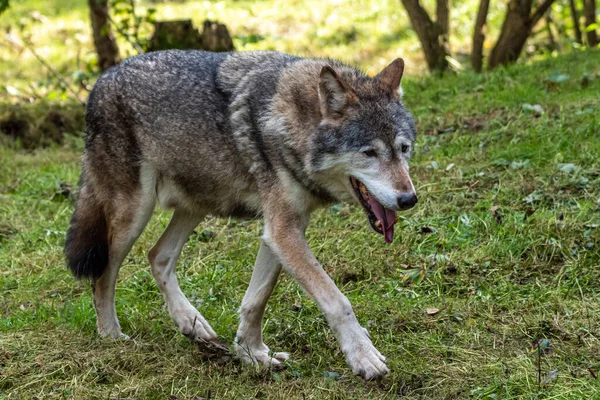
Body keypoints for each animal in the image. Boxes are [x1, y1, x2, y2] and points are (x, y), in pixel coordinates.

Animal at [63, 50, 414, 382]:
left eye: (404, 149)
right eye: (369, 153)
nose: (409, 199)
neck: (293, 124)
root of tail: (102, 80)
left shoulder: (281, 230)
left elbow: (256, 300)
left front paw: (252, 354)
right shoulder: (282, 231)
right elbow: (337, 300)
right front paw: (363, 357)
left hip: (196, 205)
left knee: (157, 255)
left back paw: (192, 324)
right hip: (134, 212)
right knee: (104, 273)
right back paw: (112, 335)